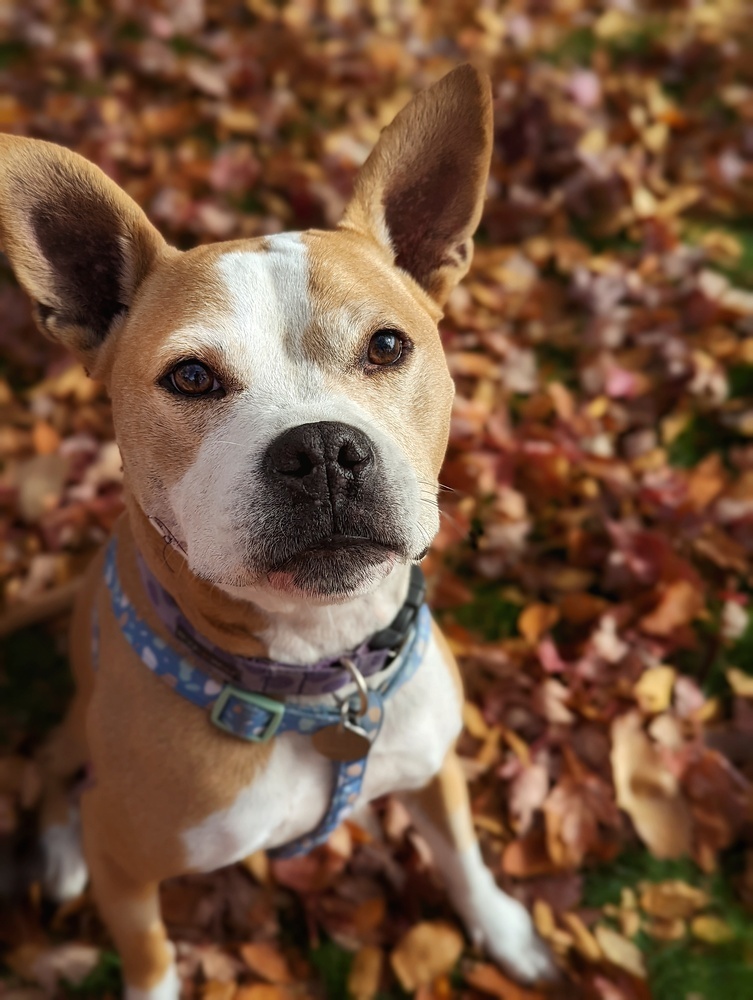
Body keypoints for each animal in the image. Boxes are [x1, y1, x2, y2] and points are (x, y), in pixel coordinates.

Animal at [0, 64, 552, 1000]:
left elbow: (461, 851)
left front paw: (505, 929)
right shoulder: (131, 868)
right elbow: (151, 957)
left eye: (387, 346)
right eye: (190, 377)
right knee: (50, 771)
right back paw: (61, 848)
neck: (316, 675)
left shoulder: (434, 762)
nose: (322, 450)